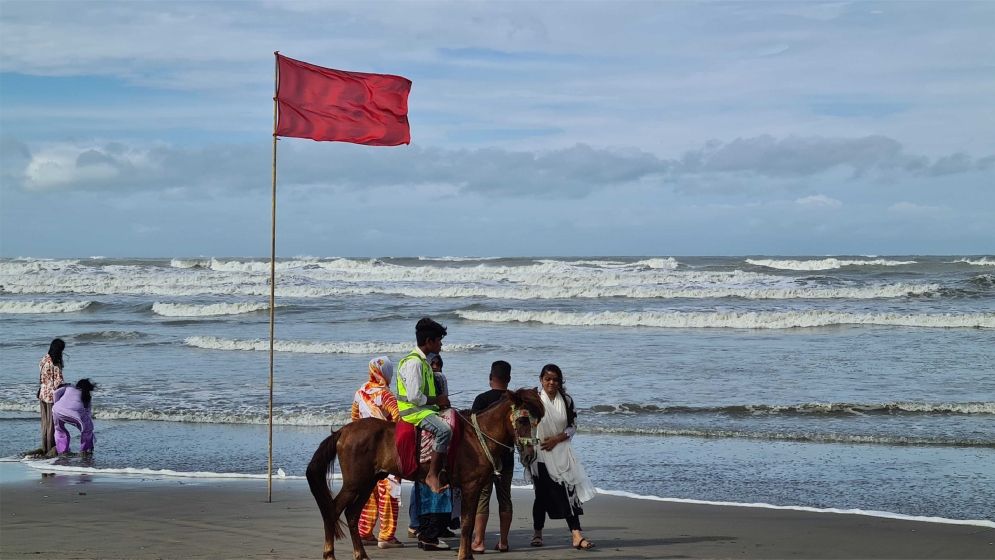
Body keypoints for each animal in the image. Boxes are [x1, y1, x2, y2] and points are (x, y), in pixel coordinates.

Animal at [310, 388, 548, 556]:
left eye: (537, 421)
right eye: (522, 419)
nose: (529, 455)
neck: (477, 436)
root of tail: (343, 431)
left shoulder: (475, 487)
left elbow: (469, 524)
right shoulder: (470, 487)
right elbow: (468, 524)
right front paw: (464, 555)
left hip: (368, 481)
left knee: (351, 514)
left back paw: (361, 555)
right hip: (354, 483)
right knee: (333, 511)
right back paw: (329, 553)